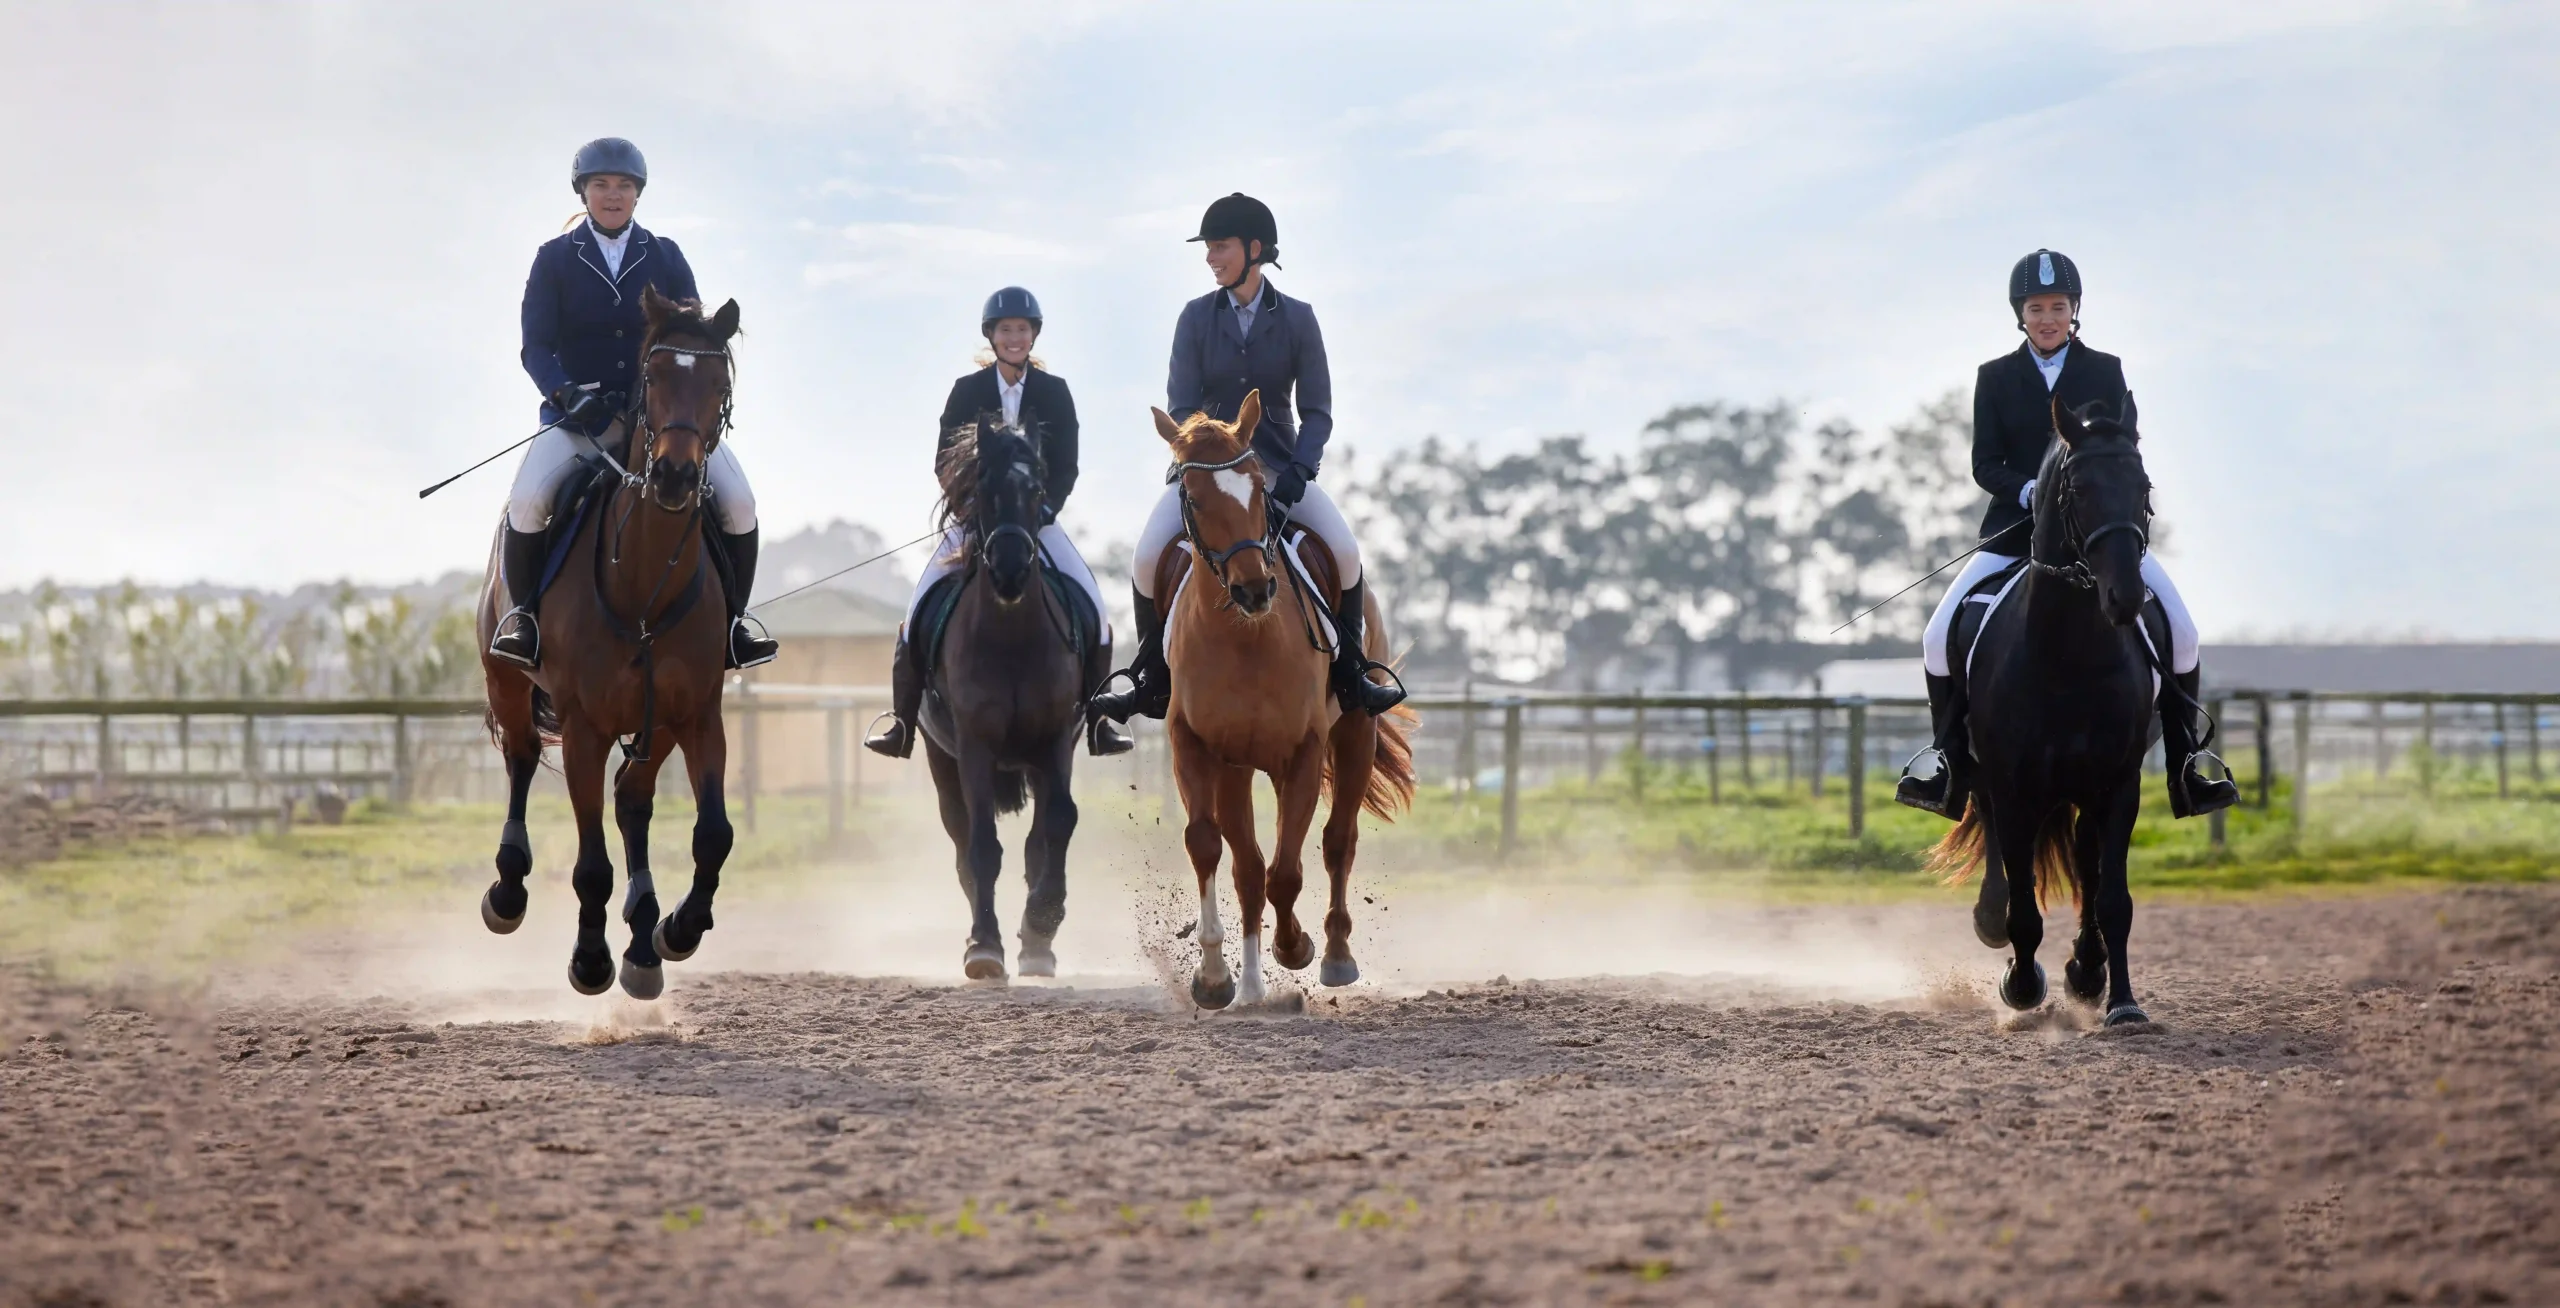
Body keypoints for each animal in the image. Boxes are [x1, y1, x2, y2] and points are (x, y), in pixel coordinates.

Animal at [478, 289, 742, 1003]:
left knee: (633, 797)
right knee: (520, 760)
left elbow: (715, 835)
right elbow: (591, 864)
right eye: (652, 378)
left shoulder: (699, 715)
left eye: (719, 384)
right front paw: (590, 960)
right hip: (506, 682)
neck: (644, 578)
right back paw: (508, 891)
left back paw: (646, 938)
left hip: (656, 724)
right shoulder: (583, 728)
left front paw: (678, 930)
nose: (675, 476)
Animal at [916, 419, 1095, 982]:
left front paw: (1043, 918)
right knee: (961, 843)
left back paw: (1037, 946)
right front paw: (984, 947)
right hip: (941, 759)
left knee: (1039, 841)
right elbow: (981, 849)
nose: (1011, 572)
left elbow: (1059, 823)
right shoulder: (974, 747)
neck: (1013, 636)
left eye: (1036, 492)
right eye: (984, 490)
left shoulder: (1056, 741)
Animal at [1146, 396, 1413, 1013]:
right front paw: (1214, 978)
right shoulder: (1197, 748)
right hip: (1240, 767)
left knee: (1338, 840)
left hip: (1355, 733)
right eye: (1194, 497)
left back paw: (1335, 956)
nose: (1254, 590)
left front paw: (1295, 949)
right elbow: (1209, 847)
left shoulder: (1304, 753)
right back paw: (1249, 988)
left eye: (1257, 490)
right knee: (1247, 868)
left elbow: (1287, 872)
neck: (1246, 638)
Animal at [1925, 401, 2170, 1034]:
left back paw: (2086, 969)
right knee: (1995, 838)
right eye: (2079, 490)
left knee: (2086, 861)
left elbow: (2113, 899)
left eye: (2143, 485)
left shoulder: (2118, 786)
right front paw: (2020, 983)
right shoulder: (2014, 785)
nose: (2125, 597)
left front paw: (2121, 1002)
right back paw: (1996, 927)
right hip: (1989, 773)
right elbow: (2022, 901)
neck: (2069, 655)